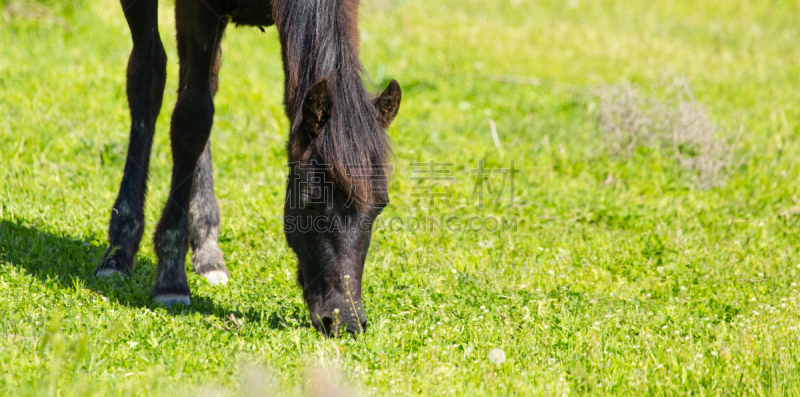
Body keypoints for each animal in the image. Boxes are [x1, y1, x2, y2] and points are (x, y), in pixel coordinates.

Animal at [95, 0, 400, 336]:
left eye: (380, 206)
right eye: (310, 202)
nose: (345, 320)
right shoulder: (196, 8)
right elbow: (192, 119)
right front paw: (171, 278)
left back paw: (207, 250)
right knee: (148, 73)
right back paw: (120, 248)